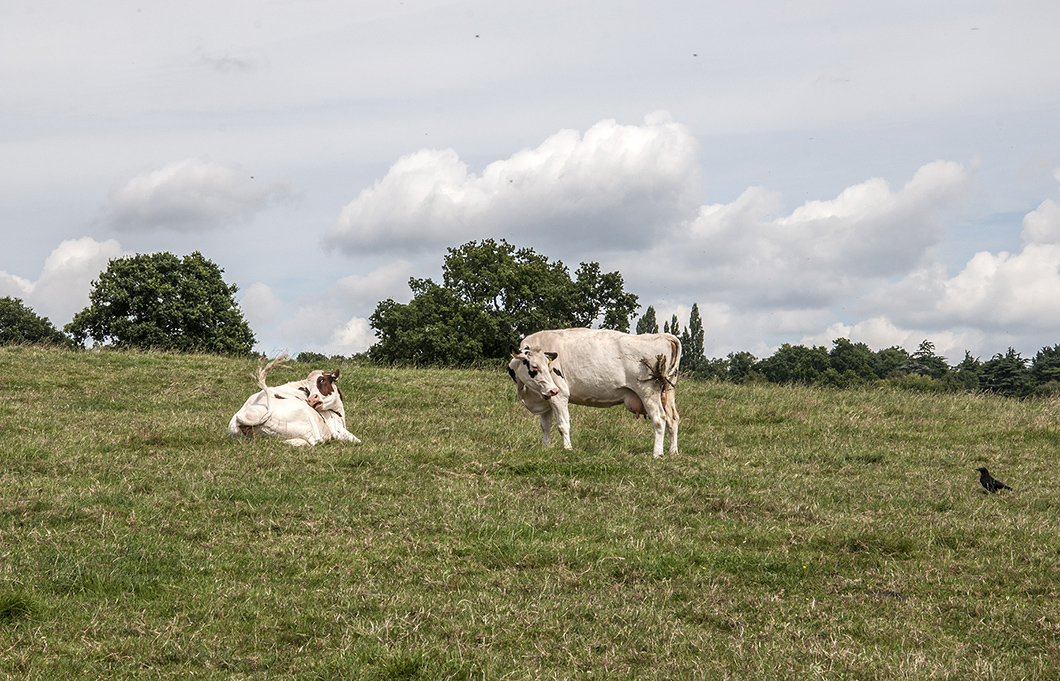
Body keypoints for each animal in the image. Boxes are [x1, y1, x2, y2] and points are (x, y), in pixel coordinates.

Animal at [227, 356, 360, 445]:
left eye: (322, 380)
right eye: (308, 389)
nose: (311, 399)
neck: (338, 412)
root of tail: (243, 414)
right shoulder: (336, 429)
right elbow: (358, 441)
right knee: (316, 441)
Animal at [506, 324, 678, 453]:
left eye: (548, 367)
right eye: (535, 367)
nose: (552, 390)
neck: (528, 393)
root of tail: (664, 336)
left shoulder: (560, 395)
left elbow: (563, 425)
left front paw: (568, 449)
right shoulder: (546, 399)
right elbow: (545, 427)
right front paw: (545, 448)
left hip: (648, 392)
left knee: (659, 419)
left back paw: (657, 453)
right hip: (668, 392)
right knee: (673, 419)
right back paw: (673, 452)